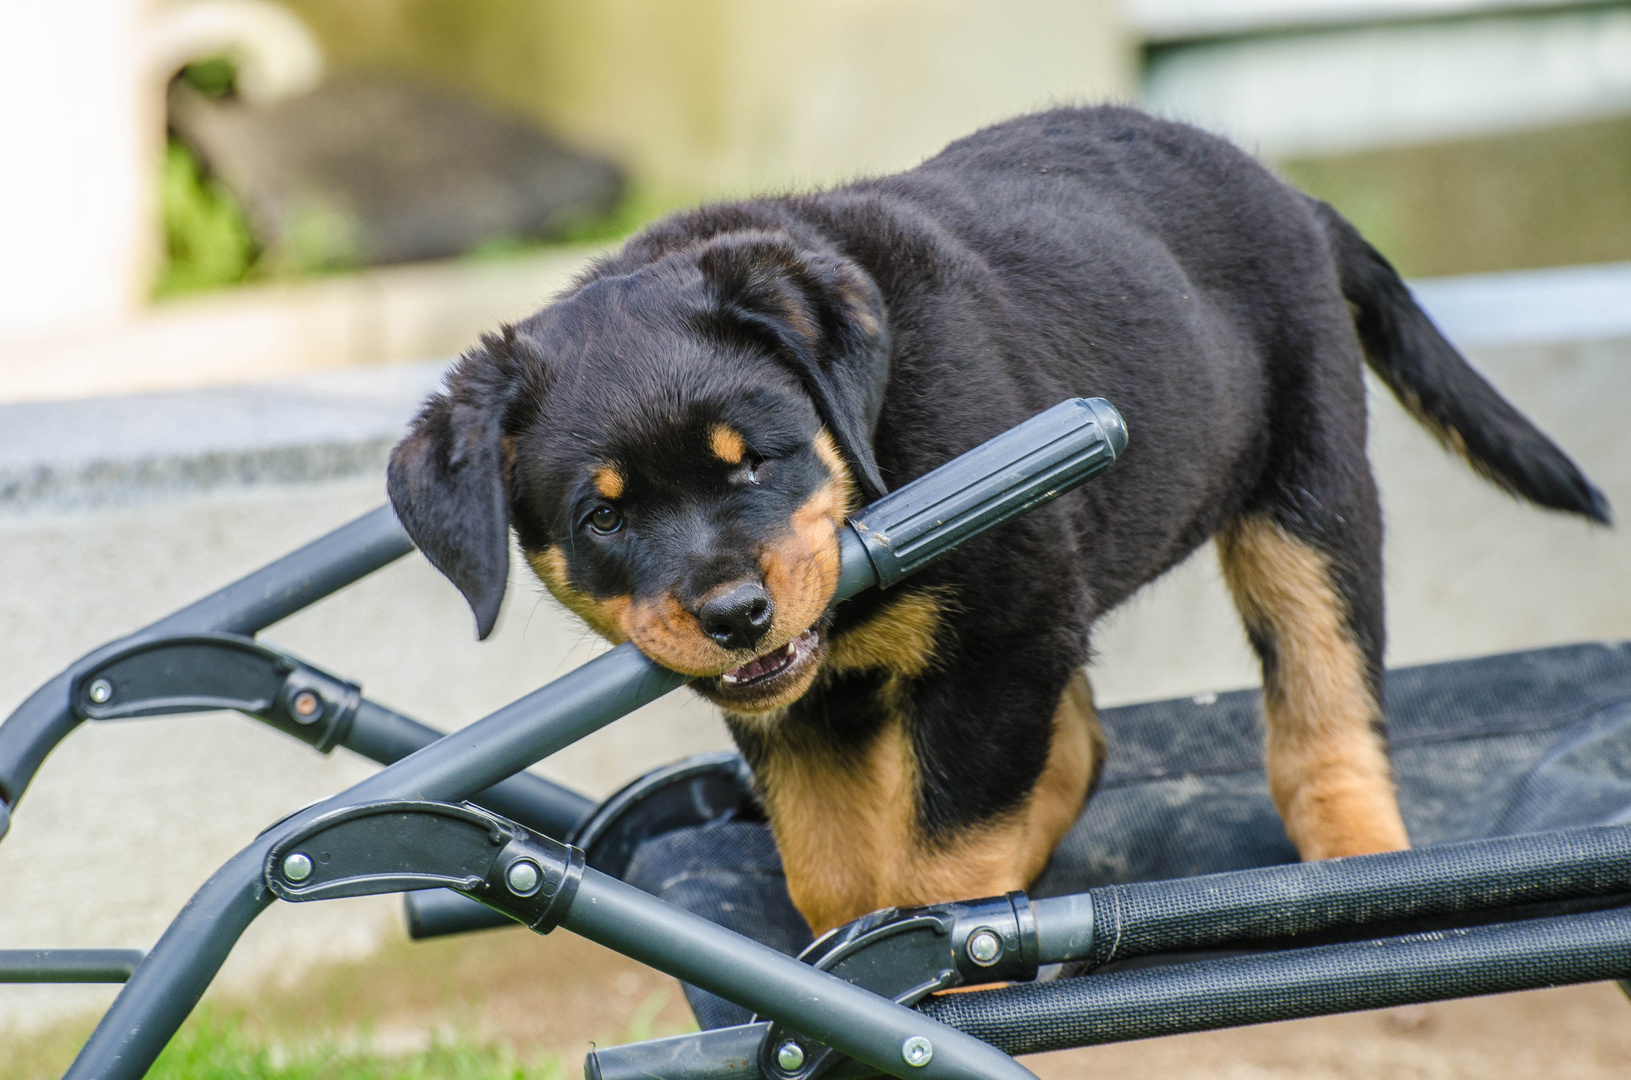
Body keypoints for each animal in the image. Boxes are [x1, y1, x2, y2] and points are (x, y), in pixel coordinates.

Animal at [384, 107, 1604, 939]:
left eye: (755, 462)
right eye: (602, 516)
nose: (733, 614)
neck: (872, 454)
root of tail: (1291, 198)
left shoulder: (1000, 634)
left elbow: (943, 856)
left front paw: (948, 967)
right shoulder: (811, 706)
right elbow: (830, 867)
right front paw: (841, 958)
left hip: (1303, 500)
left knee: (1323, 700)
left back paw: (1360, 865)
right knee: (1081, 746)